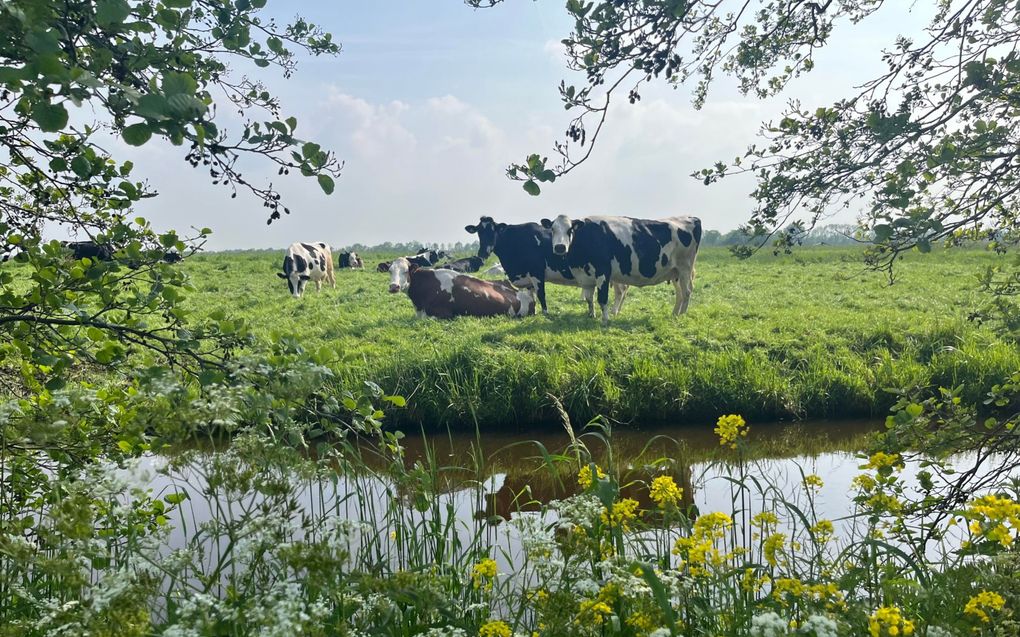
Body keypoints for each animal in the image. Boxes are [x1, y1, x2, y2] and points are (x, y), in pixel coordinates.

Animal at [465, 216, 628, 315]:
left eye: (494, 231)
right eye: (479, 232)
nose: (483, 252)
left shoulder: (537, 272)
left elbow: (541, 294)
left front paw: (545, 313)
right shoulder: (528, 278)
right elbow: (531, 296)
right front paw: (532, 312)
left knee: (620, 291)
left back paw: (614, 311)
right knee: (622, 290)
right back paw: (616, 310)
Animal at [542, 215, 701, 326]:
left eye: (570, 230)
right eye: (552, 229)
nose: (560, 247)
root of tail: (690, 217)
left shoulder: (603, 273)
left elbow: (602, 299)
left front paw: (605, 320)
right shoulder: (586, 277)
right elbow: (589, 298)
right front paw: (591, 315)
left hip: (685, 268)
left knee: (687, 292)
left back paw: (682, 315)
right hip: (675, 272)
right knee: (680, 293)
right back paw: (675, 314)